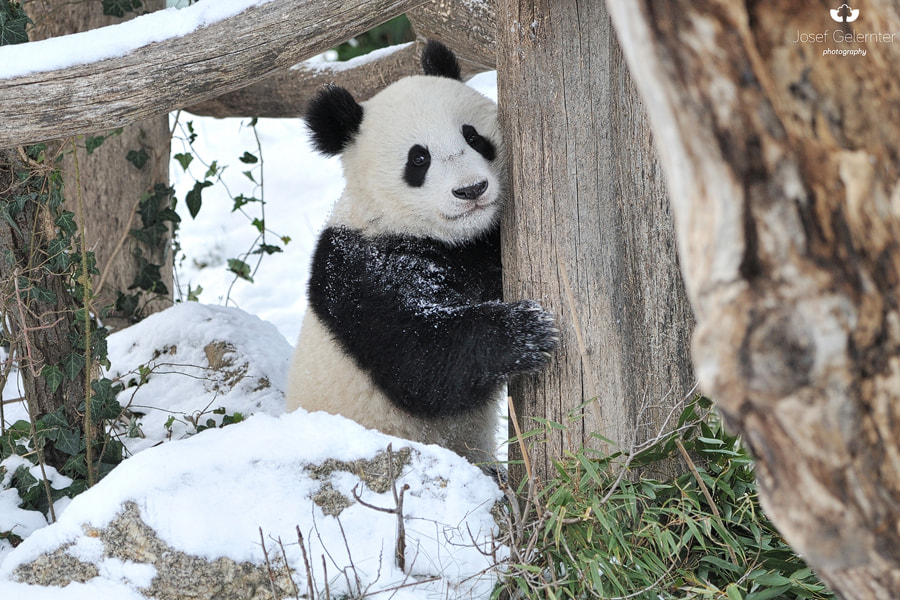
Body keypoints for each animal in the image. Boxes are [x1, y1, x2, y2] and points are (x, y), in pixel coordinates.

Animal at [286, 40, 558, 467]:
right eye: (419, 159)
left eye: (473, 137)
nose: (471, 190)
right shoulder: (361, 268)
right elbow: (418, 360)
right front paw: (525, 330)